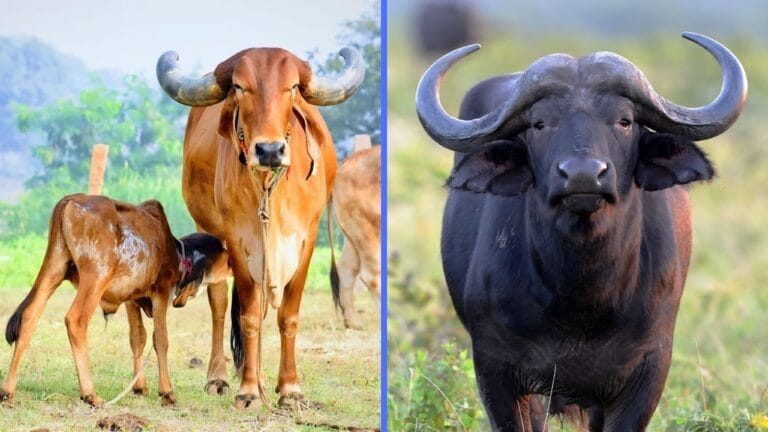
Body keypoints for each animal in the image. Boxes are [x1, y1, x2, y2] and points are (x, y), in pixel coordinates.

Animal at [0, 194, 230, 407]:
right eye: (224, 254)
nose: (232, 264)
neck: (176, 251)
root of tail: (69, 200)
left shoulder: (131, 299)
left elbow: (138, 337)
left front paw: (140, 387)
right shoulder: (161, 292)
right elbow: (160, 340)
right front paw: (167, 392)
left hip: (54, 268)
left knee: (29, 316)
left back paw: (8, 391)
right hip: (95, 277)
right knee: (75, 320)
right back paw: (90, 394)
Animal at [156, 46, 365, 408]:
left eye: (292, 87)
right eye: (240, 87)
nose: (269, 150)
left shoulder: (306, 240)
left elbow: (287, 316)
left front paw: (290, 388)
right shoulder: (239, 242)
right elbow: (249, 316)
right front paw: (249, 390)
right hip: (211, 234)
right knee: (220, 304)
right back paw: (220, 377)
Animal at [415, 32, 747, 431]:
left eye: (624, 121)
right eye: (540, 124)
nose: (583, 175)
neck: (581, 295)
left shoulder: (649, 369)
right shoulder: (494, 369)